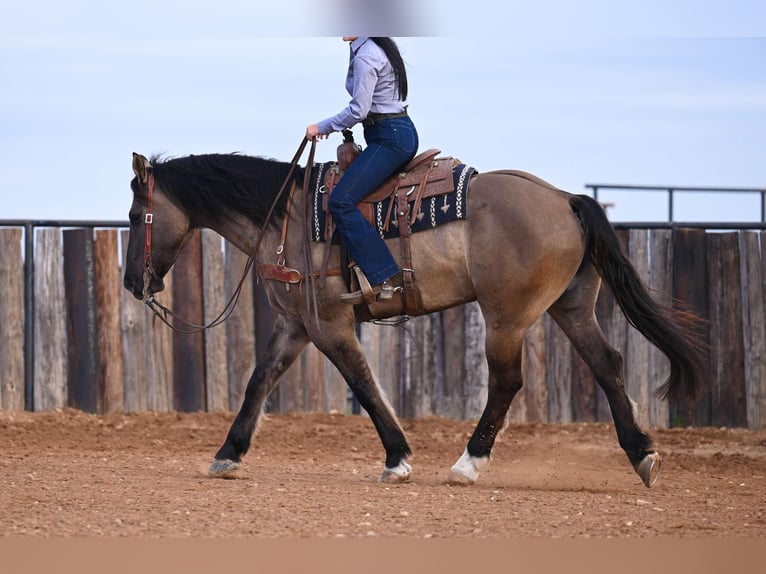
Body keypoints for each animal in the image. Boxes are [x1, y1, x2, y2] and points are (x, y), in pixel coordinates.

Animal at [124, 148, 708, 490]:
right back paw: (642, 455)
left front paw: (398, 457)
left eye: (135, 214)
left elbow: (363, 384)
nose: (133, 282)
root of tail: (564, 199)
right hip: (570, 307)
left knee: (507, 381)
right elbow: (258, 382)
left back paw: (469, 463)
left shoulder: (328, 326)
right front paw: (228, 454)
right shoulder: (294, 326)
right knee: (607, 364)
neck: (285, 219)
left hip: (506, 318)